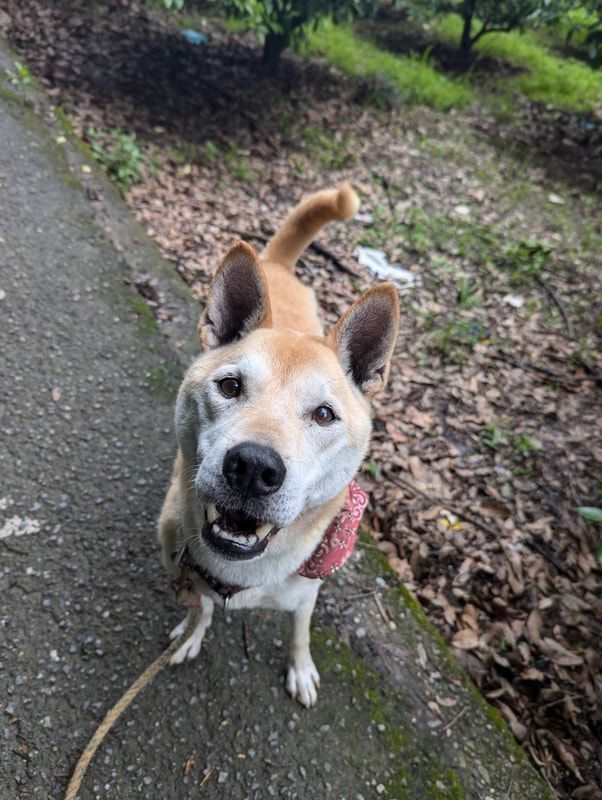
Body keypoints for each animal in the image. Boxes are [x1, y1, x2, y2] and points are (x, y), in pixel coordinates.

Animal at [158, 181, 398, 708]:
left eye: (324, 414)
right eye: (230, 386)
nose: (252, 467)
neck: (239, 577)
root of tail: (278, 263)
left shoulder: (305, 593)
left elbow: (301, 632)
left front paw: (301, 668)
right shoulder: (188, 571)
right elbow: (201, 608)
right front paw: (192, 632)